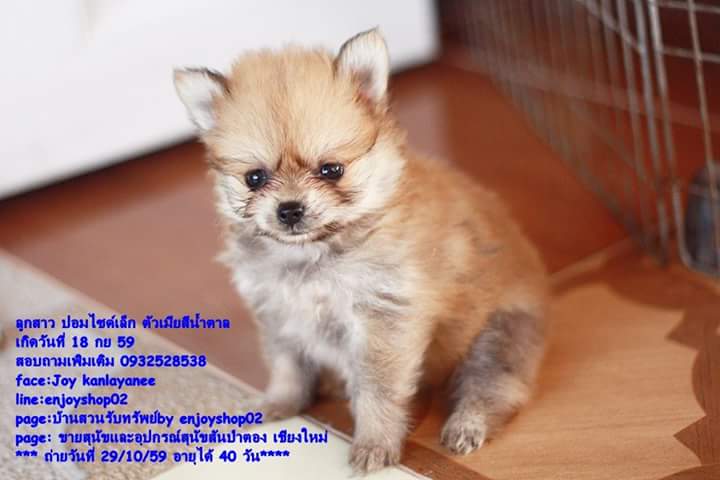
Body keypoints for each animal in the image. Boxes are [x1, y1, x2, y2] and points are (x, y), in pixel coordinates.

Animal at [174, 28, 548, 473]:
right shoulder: (278, 314)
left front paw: (374, 444)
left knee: (495, 387)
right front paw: (280, 403)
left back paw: (467, 425)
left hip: (496, 336)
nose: (289, 209)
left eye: (331, 170)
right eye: (255, 178)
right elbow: (287, 366)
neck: (313, 256)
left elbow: (377, 391)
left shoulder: (381, 320)